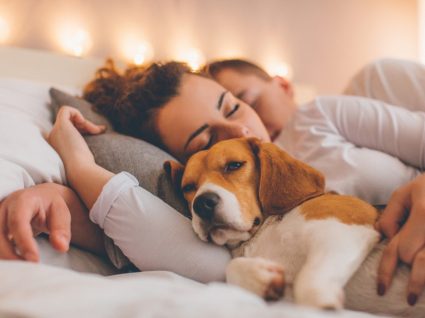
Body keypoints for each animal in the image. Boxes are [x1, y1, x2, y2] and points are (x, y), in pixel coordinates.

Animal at [164, 138, 422, 314]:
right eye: (188, 187)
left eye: (234, 165)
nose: (202, 204)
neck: (266, 231)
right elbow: (232, 267)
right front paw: (262, 280)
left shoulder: (344, 228)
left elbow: (307, 283)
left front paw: (322, 305)